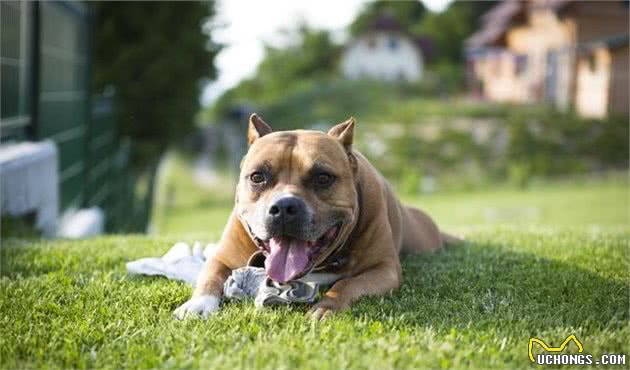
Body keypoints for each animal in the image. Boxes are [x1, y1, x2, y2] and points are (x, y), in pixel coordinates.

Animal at [173, 114, 460, 320]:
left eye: (323, 177)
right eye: (257, 177)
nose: (284, 207)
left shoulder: (384, 269)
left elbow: (347, 284)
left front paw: (327, 307)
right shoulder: (223, 257)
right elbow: (210, 277)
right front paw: (197, 305)